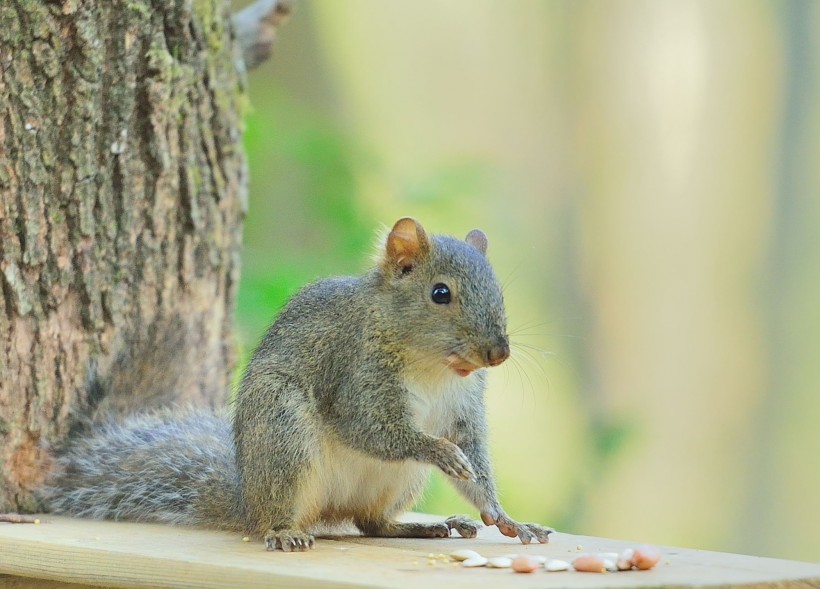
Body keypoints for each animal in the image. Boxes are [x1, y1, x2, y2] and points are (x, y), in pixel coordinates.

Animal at [43, 217, 552, 552]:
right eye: (440, 293)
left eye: (498, 292)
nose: (498, 353)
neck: (432, 366)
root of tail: (246, 498)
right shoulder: (355, 375)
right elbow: (371, 430)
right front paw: (441, 452)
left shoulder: (465, 407)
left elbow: (476, 461)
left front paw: (505, 519)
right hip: (283, 430)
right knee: (282, 517)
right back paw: (285, 531)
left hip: (398, 481)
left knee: (371, 523)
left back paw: (417, 527)